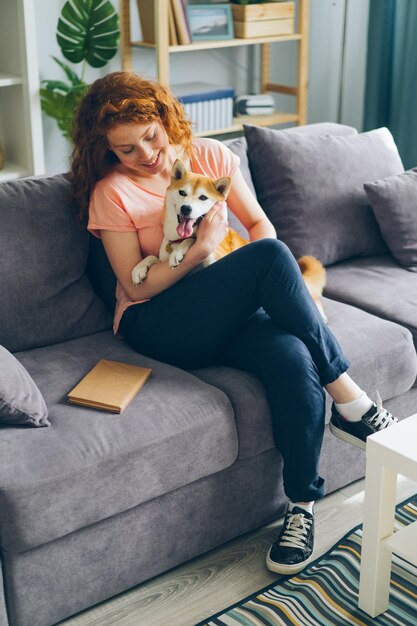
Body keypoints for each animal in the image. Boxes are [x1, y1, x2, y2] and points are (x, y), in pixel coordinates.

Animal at [132, 158, 326, 322]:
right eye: (182, 192)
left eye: (203, 197)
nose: (186, 208)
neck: (177, 240)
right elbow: (152, 257)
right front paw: (139, 268)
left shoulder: (214, 256)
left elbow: (193, 240)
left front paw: (180, 251)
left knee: (312, 296)